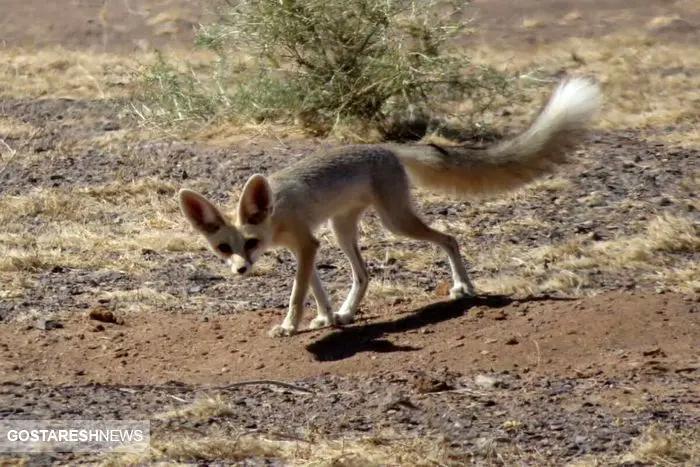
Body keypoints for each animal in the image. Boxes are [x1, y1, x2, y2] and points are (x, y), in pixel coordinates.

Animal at [178, 78, 600, 338]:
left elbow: (298, 292)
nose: (241, 270)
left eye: (249, 242)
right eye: (224, 248)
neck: (276, 213)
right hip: (342, 229)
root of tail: (384, 148)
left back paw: (463, 287)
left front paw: (289, 326)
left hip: (395, 223)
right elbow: (314, 287)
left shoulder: (307, 244)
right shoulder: (309, 246)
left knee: (449, 238)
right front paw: (326, 317)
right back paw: (347, 312)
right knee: (364, 274)